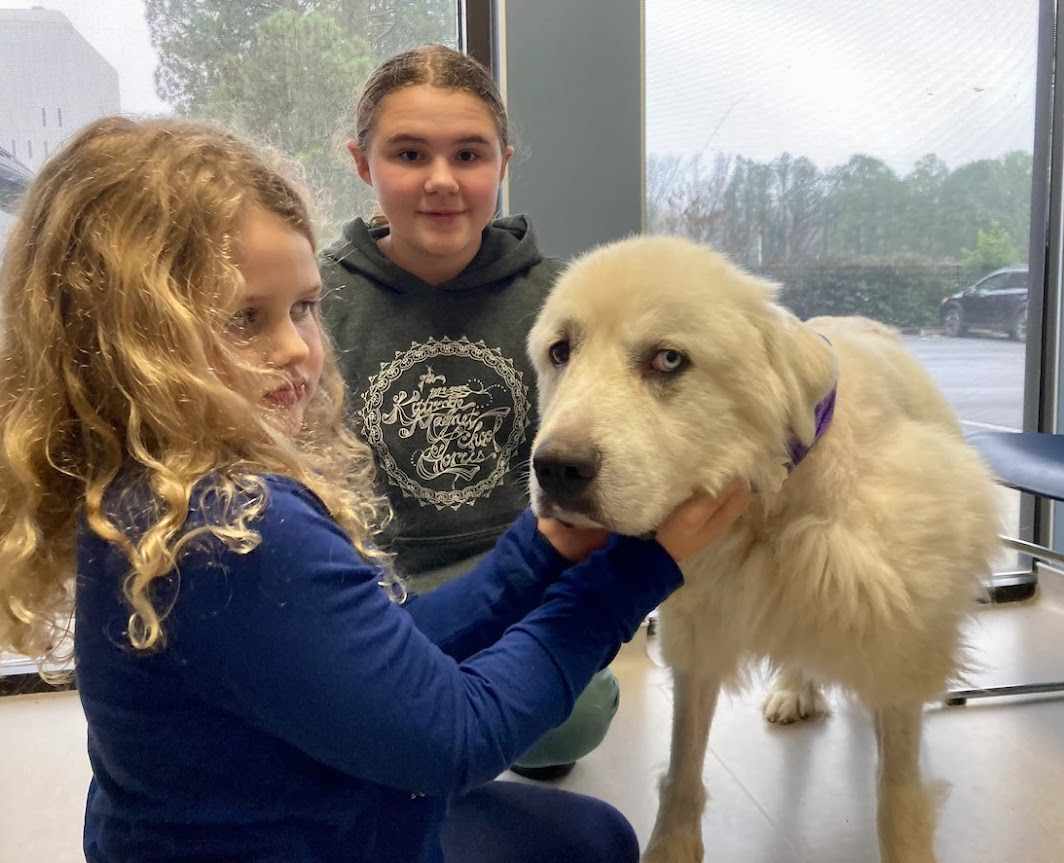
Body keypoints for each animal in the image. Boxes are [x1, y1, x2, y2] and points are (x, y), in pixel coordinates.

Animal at [527, 236, 1000, 863]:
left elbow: (897, 797)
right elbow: (683, 767)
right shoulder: (701, 632)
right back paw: (794, 691)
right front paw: (673, 847)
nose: (557, 469)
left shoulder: (898, 641)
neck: (771, 502)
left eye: (668, 360)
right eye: (561, 352)